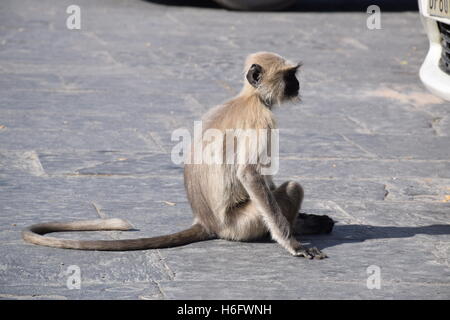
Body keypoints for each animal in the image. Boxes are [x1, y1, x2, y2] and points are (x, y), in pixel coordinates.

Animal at [22, 51, 334, 258]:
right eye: (289, 76)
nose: (297, 85)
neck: (250, 97)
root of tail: (207, 222)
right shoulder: (262, 120)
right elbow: (250, 174)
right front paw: (292, 244)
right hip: (242, 224)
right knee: (291, 188)